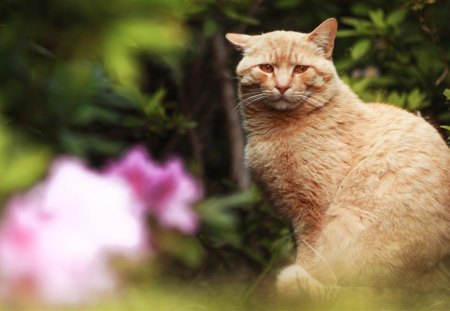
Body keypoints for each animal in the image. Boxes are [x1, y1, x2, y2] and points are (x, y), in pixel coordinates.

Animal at [227, 18, 450, 302]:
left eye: (300, 69)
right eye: (267, 68)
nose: (282, 86)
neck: (275, 131)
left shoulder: (312, 213)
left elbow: (308, 260)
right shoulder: (291, 217)